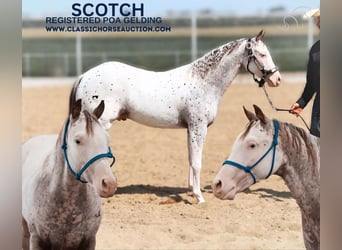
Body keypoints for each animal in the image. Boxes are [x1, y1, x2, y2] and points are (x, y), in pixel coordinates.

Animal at [74, 30, 280, 203]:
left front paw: (192, 190)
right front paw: (199, 197)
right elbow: (197, 162)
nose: (276, 79)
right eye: (261, 54)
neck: (203, 83)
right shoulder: (198, 128)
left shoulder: (190, 129)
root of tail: (85, 76)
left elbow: (190, 159)